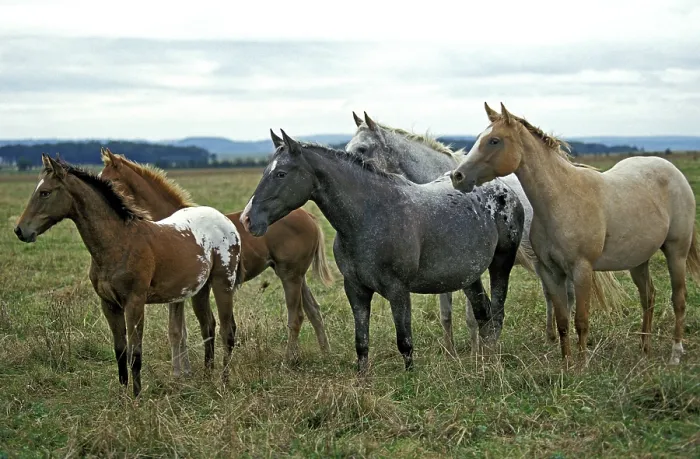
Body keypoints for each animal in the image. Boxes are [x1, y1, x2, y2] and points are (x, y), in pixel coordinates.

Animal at [14, 154, 242, 396]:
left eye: (45, 192)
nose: (20, 230)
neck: (119, 241)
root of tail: (227, 222)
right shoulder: (109, 305)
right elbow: (120, 351)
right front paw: (123, 396)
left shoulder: (134, 303)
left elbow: (136, 353)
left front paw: (136, 397)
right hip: (200, 289)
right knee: (208, 326)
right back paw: (207, 378)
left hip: (223, 283)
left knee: (227, 330)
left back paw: (223, 383)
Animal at [98, 148, 334, 365]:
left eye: (110, 181)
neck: (171, 228)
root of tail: (309, 215)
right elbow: (181, 331)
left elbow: (181, 331)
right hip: (294, 274)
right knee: (313, 310)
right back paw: (324, 353)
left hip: (290, 275)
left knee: (297, 315)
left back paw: (289, 360)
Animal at [240, 129, 525, 373]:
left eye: (281, 174)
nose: (247, 219)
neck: (372, 215)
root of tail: (503, 189)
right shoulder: (356, 290)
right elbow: (361, 343)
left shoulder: (398, 290)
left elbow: (405, 342)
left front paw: (410, 381)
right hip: (468, 275)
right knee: (483, 314)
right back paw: (484, 360)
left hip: (501, 264)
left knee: (496, 314)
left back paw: (492, 362)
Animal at [344, 111, 625, 345]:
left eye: (363, 148)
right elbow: (446, 313)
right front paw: (451, 351)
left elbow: (473, 315)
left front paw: (476, 350)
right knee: (553, 295)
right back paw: (551, 337)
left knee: (567, 296)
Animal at [451, 102, 700, 366]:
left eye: (494, 140)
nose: (458, 176)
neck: (562, 198)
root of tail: (674, 172)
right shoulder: (551, 272)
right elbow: (562, 321)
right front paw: (567, 364)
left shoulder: (582, 270)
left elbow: (581, 320)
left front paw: (582, 366)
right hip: (638, 260)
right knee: (648, 297)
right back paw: (644, 349)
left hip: (676, 252)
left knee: (679, 300)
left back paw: (675, 354)